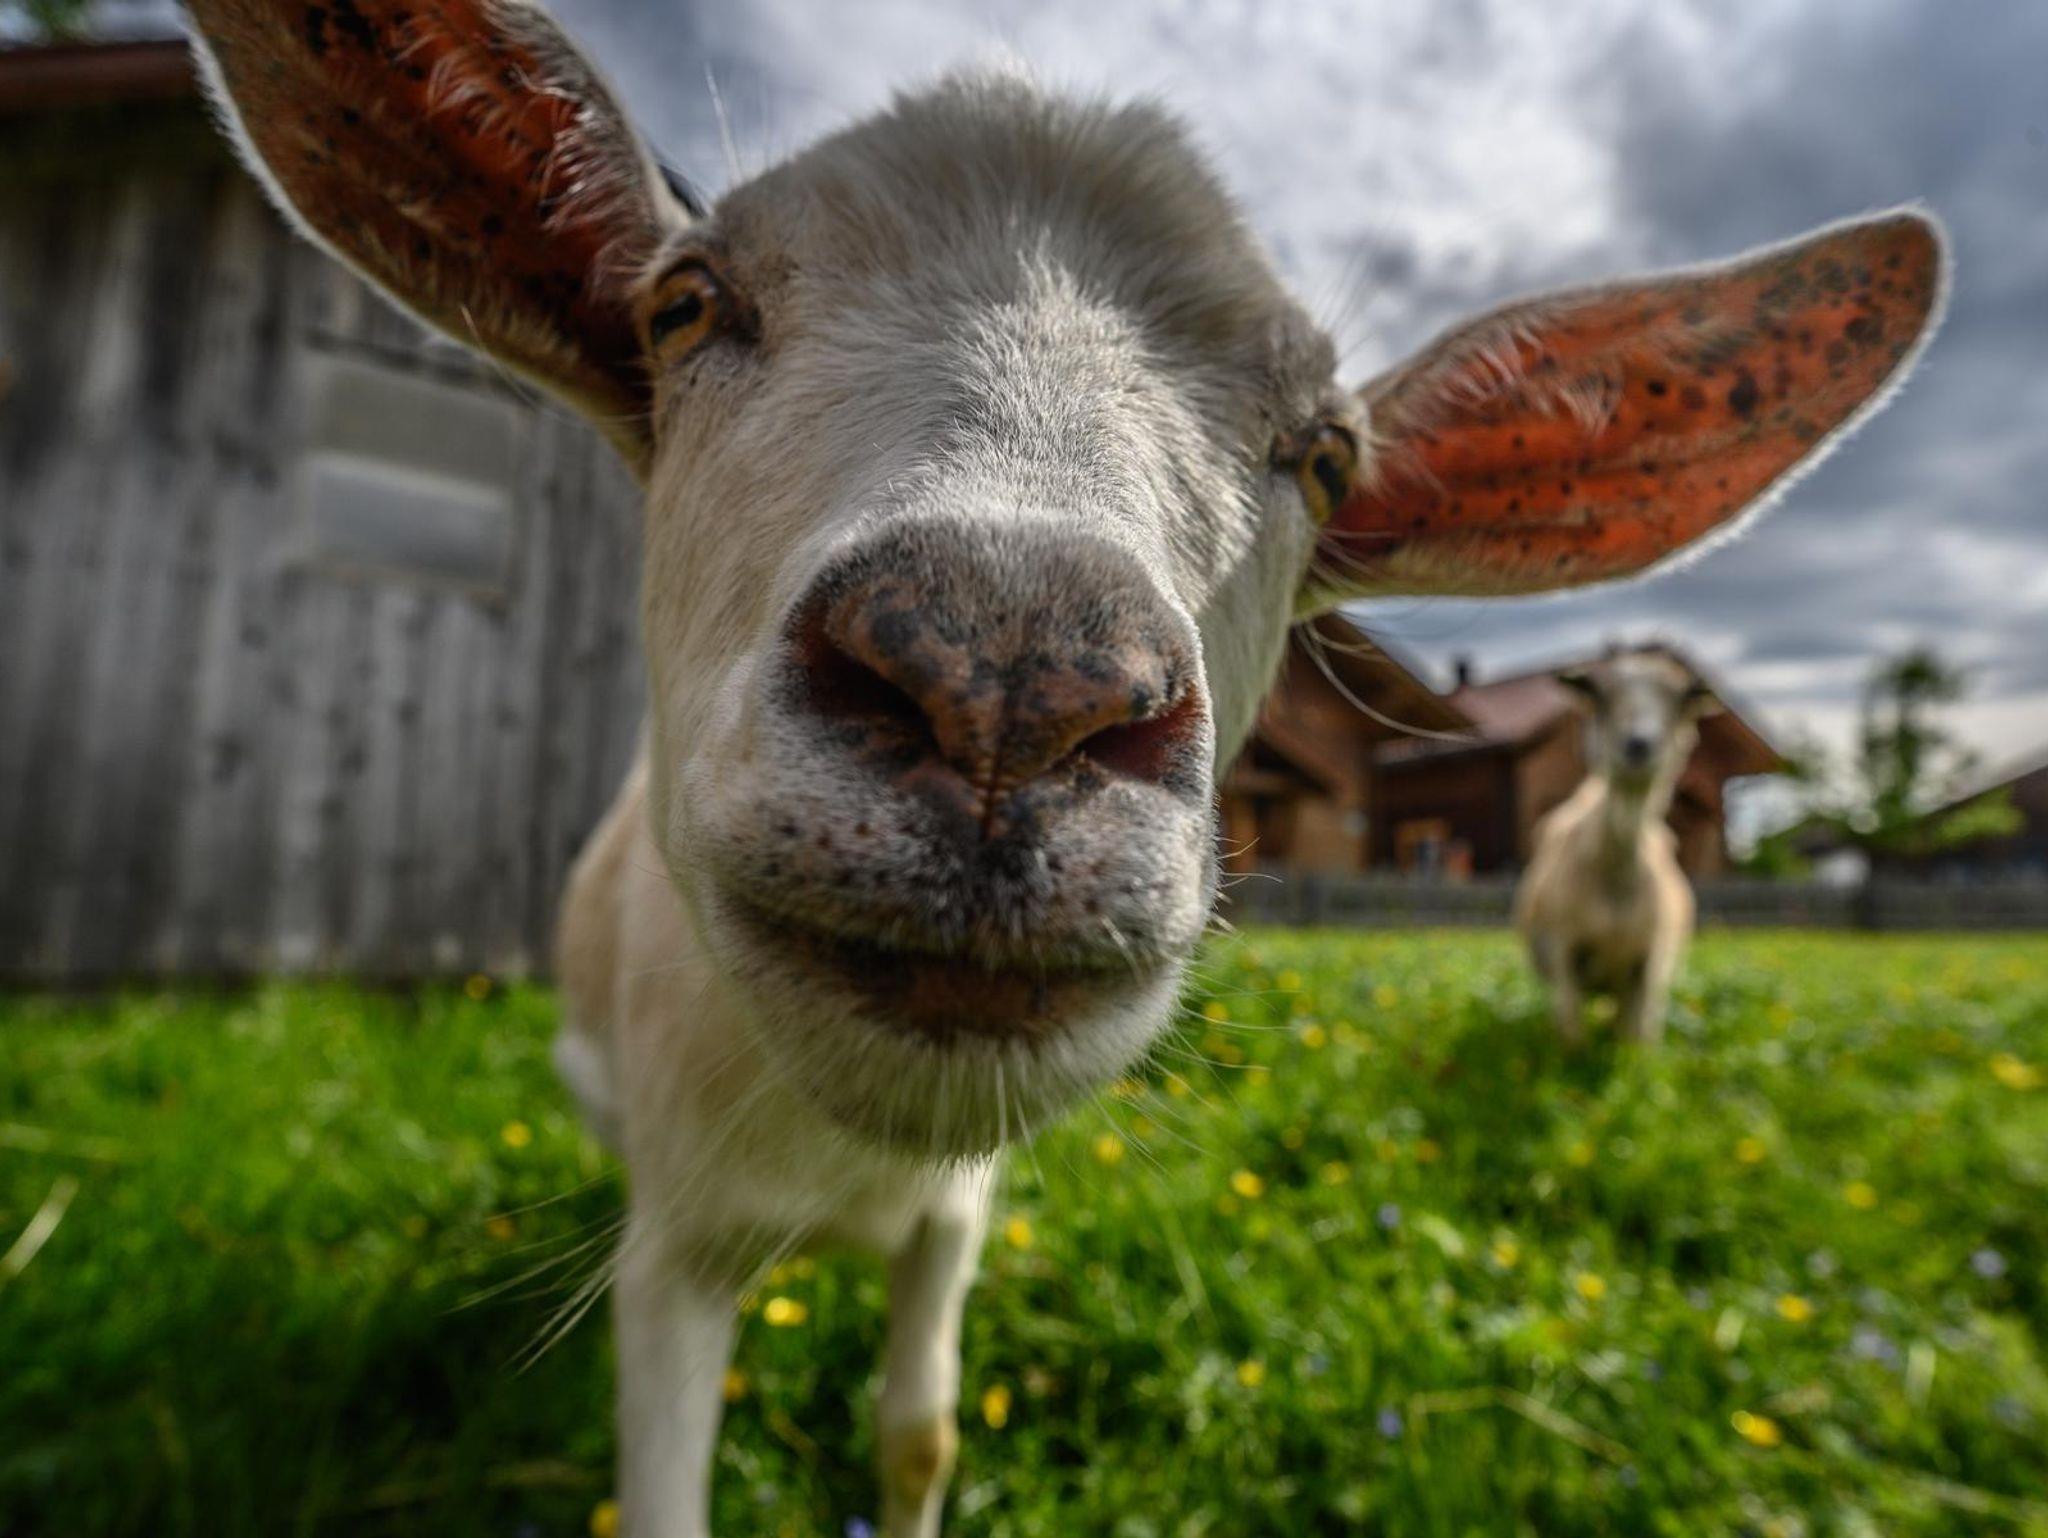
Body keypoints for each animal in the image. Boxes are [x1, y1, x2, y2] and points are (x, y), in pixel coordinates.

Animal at [1516, 651, 1720, 1047]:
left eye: (1682, 698)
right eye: (1601, 695)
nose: (1639, 743)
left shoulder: (1650, 962)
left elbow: (1637, 1039)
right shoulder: (1564, 951)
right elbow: (1570, 1032)